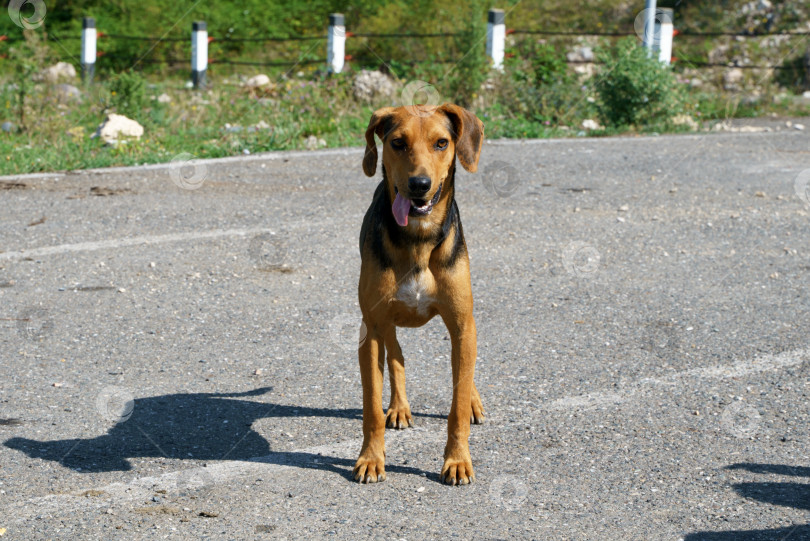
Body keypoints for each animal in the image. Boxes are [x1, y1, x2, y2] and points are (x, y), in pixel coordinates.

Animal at [352, 103, 480, 484]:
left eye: (441, 143)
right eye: (397, 143)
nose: (419, 185)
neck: (419, 239)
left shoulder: (462, 323)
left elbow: (457, 404)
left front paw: (457, 460)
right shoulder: (371, 329)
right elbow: (371, 407)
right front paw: (371, 458)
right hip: (384, 322)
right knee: (397, 357)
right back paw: (399, 407)